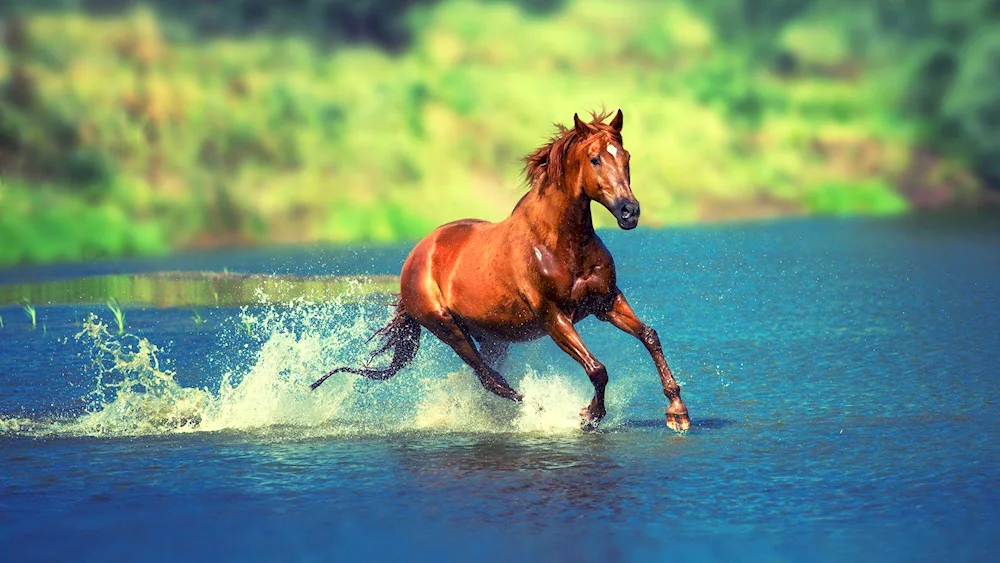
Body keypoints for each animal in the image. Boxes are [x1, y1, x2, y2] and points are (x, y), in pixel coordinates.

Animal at [310, 108, 688, 430]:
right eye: (595, 158)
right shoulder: (554, 317)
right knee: (490, 379)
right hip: (448, 328)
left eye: (625, 157)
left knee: (489, 378)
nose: (629, 212)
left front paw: (677, 412)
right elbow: (597, 369)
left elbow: (649, 336)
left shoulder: (605, 302)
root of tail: (415, 258)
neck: (560, 243)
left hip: (491, 335)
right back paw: (540, 410)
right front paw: (588, 415)